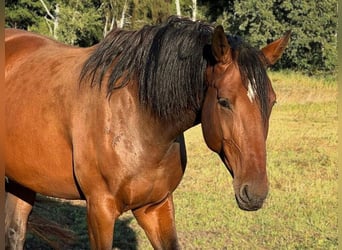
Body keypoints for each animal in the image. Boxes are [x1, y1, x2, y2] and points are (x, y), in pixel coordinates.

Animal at [4, 16, 288, 249]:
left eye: (272, 101)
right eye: (224, 101)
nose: (255, 193)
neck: (139, 119)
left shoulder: (155, 206)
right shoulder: (99, 210)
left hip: (22, 181)